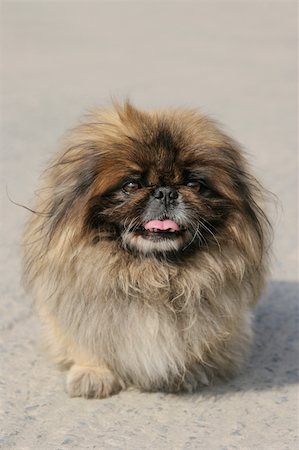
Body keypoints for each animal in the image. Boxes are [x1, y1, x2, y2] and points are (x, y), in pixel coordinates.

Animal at [23, 101, 270, 398]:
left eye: (193, 184)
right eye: (131, 185)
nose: (165, 192)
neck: (153, 273)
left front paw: (190, 372)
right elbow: (86, 341)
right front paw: (93, 373)